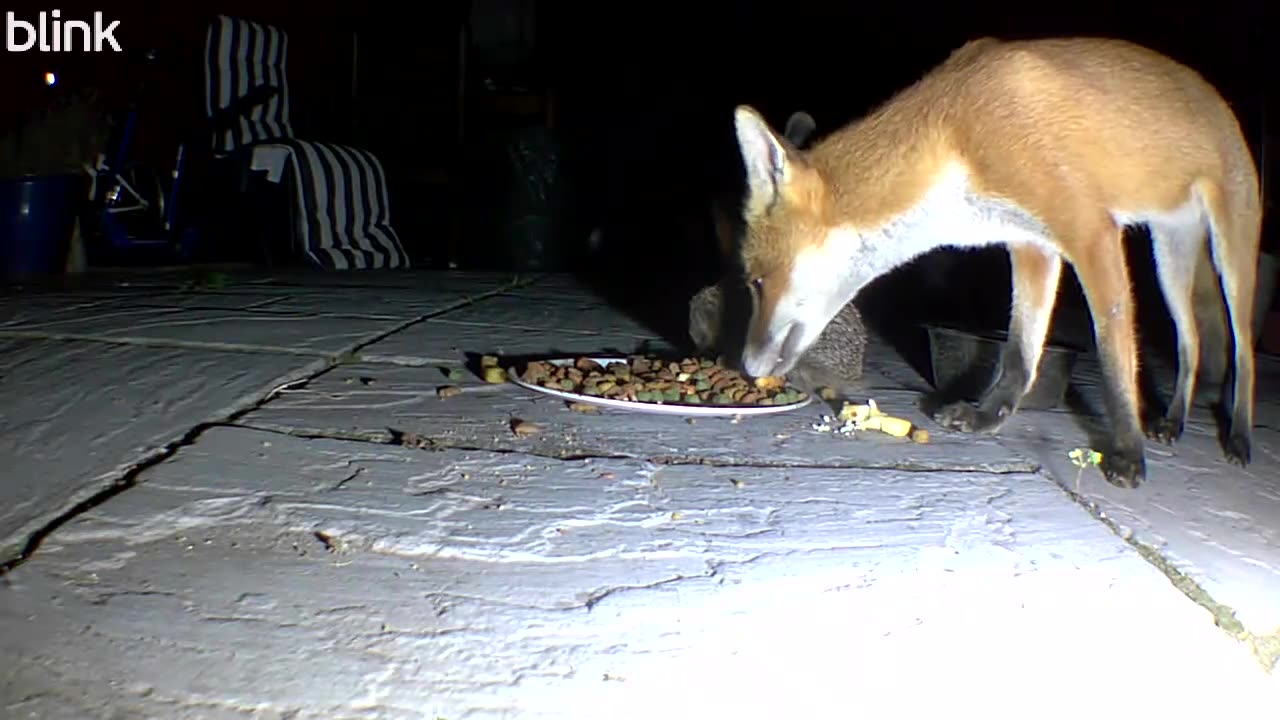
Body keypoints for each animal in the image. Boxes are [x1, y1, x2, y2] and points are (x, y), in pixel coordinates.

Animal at [729, 36, 1262, 489]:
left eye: (755, 282)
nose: (746, 368)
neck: (956, 130)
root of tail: (1215, 97)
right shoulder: (1031, 245)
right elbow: (1019, 355)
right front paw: (989, 417)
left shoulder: (1090, 233)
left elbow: (1115, 361)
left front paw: (1128, 451)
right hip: (1168, 262)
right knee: (1191, 344)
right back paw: (1173, 420)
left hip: (1232, 257)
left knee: (1243, 349)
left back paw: (1239, 437)